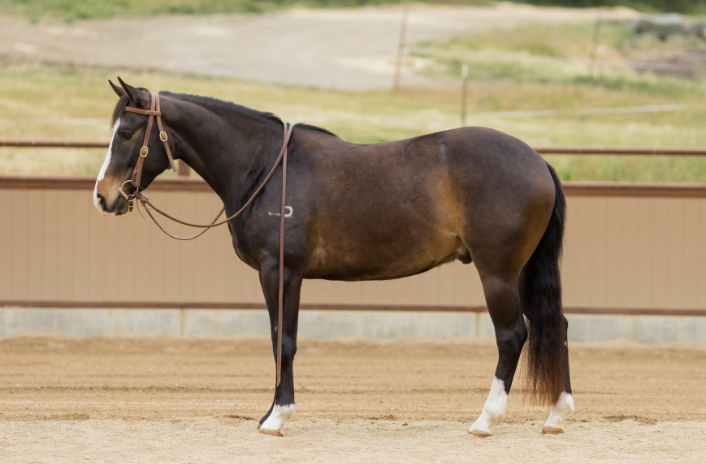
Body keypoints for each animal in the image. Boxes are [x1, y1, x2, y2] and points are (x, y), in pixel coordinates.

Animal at [93, 80, 572, 438]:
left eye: (127, 132)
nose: (103, 196)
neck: (265, 168)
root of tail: (538, 162)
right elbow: (278, 341)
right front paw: (270, 412)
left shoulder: (281, 272)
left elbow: (282, 341)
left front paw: (277, 417)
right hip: (523, 272)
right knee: (555, 327)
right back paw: (556, 414)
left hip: (498, 273)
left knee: (512, 335)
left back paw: (485, 420)